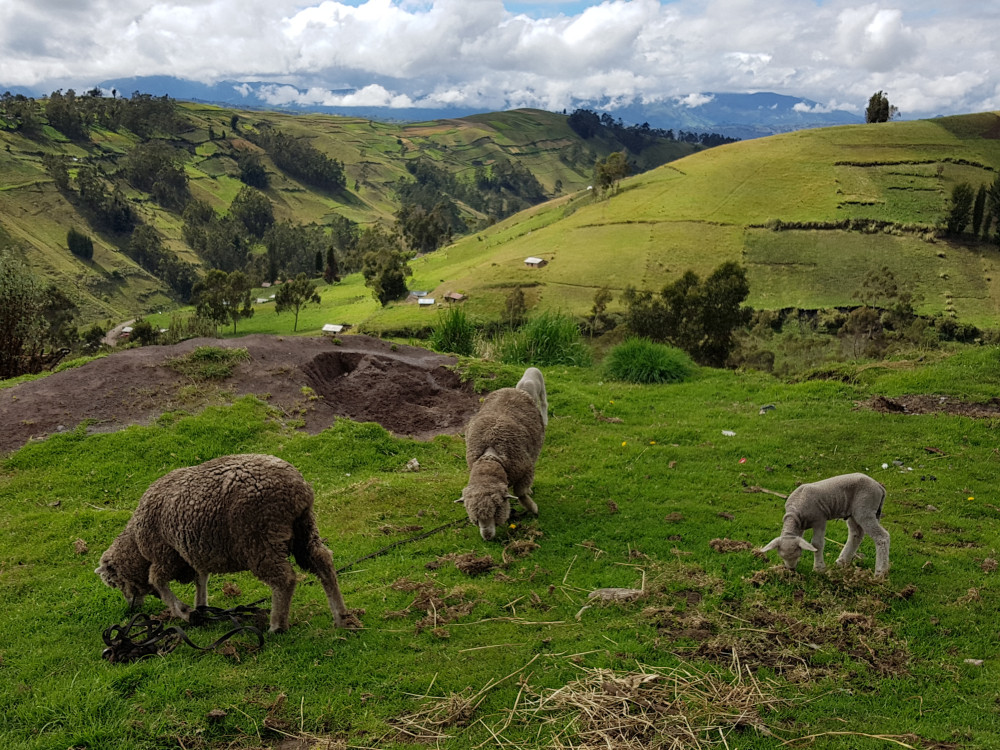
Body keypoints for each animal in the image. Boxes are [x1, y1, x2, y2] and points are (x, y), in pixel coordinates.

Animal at [96, 456, 356, 632]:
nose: (132, 609)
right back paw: (341, 617)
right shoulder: (191, 552)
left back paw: (277, 625)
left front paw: (184, 612)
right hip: (304, 529)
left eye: (116, 583)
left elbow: (158, 581)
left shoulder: (165, 555)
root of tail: (297, 489)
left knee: (284, 579)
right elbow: (201, 579)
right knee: (323, 561)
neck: (137, 545)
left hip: (259, 538)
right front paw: (200, 608)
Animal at [458, 368, 548, 540]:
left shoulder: (525, 469)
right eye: (475, 519)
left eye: (496, 511)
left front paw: (533, 508)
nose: (487, 537)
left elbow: (520, 493)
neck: (490, 457)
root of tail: (514, 390)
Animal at [756, 472, 892, 580]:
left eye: (799, 554)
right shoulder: (799, 527)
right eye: (781, 555)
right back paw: (842, 562)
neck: (795, 513)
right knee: (856, 534)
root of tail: (879, 486)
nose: (791, 569)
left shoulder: (819, 519)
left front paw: (819, 569)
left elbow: (817, 544)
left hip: (865, 509)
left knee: (882, 537)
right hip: (854, 513)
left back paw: (880, 573)